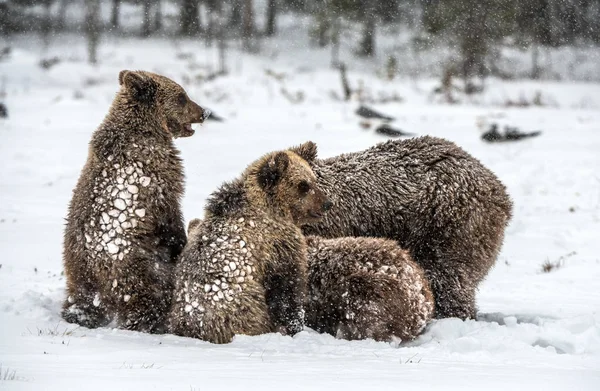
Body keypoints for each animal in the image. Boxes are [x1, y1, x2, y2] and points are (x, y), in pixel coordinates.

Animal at [62, 70, 210, 334]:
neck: (149, 129)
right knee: (147, 296)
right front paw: (180, 239)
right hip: (135, 267)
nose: (203, 112)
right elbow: (169, 213)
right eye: (182, 96)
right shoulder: (156, 177)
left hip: (75, 270)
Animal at [166, 149, 330, 344]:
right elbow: (287, 289)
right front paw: (295, 326)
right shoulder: (278, 247)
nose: (327, 203)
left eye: (313, 180)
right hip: (243, 309)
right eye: (303, 185)